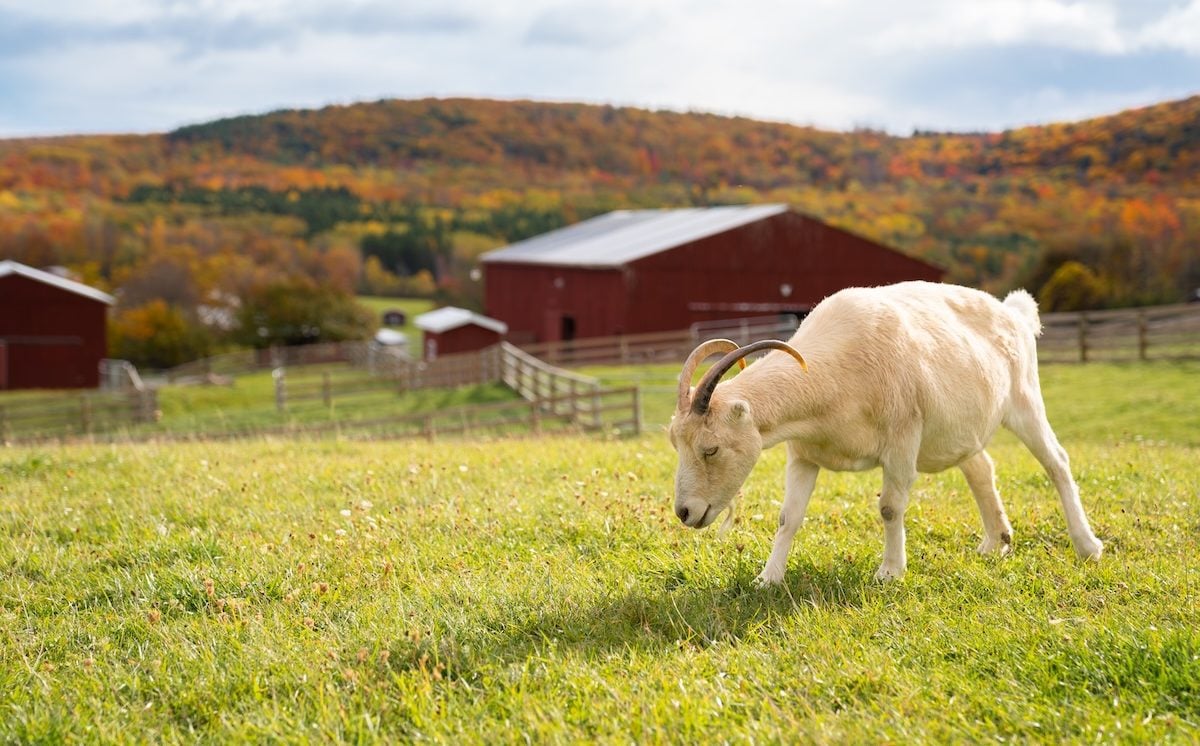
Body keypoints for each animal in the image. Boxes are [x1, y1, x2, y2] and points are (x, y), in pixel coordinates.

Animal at [668, 281, 1103, 584]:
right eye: (677, 445)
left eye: (710, 449)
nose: (684, 512)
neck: (832, 373)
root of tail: (1014, 312)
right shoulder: (804, 454)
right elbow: (787, 517)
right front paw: (767, 578)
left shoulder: (902, 440)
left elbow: (890, 508)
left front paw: (890, 572)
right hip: (958, 430)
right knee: (981, 468)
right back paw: (996, 542)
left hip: (1025, 400)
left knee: (1056, 462)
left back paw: (1087, 545)